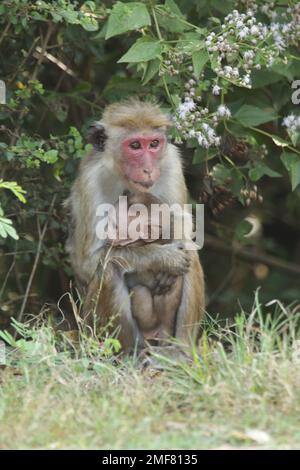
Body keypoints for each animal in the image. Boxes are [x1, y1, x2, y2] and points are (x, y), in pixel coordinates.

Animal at [66, 99, 204, 352]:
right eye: (135, 145)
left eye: (154, 144)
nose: (148, 169)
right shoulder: (91, 179)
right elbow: (87, 263)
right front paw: (163, 258)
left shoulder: (170, 163)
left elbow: (183, 228)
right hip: (89, 329)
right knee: (109, 268)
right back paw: (129, 353)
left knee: (190, 252)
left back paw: (180, 348)